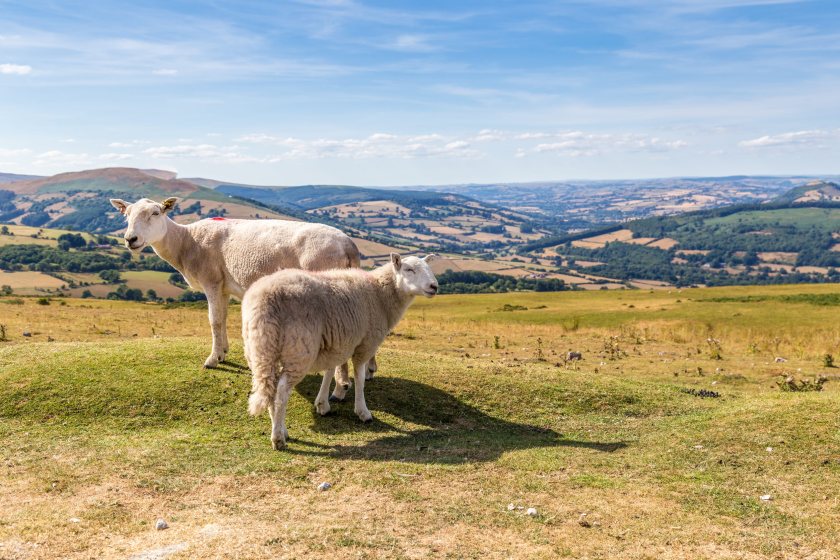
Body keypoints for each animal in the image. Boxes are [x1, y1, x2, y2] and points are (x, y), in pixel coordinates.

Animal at [108, 197, 367, 382]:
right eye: (126, 215)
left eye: (155, 213)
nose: (130, 239)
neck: (186, 242)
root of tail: (349, 245)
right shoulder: (223, 286)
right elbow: (222, 318)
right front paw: (223, 352)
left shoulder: (211, 280)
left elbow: (213, 320)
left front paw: (212, 359)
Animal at [242, 253, 438, 450]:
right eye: (409, 269)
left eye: (429, 268)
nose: (434, 286)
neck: (380, 295)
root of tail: (265, 299)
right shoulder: (365, 344)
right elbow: (359, 378)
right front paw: (362, 412)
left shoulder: (336, 343)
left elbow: (330, 371)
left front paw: (322, 404)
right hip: (299, 350)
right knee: (281, 390)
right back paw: (278, 438)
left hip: (260, 349)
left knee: (270, 388)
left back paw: (281, 429)